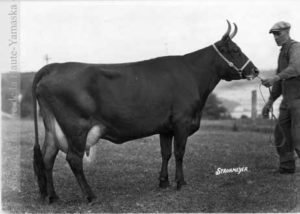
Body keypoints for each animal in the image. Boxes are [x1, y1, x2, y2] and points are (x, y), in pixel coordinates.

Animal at [31, 20, 258, 203]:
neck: (193, 75)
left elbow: (166, 153)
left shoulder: (166, 127)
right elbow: (179, 152)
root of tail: (55, 66)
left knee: (48, 156)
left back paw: (53, 197)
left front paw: (163, 182)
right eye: (235, 50)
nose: (255, 70)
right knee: (73, 159)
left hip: (53, 126)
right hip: (76, 127)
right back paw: (90, 195)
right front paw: (180, 182)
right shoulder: (182, 122)